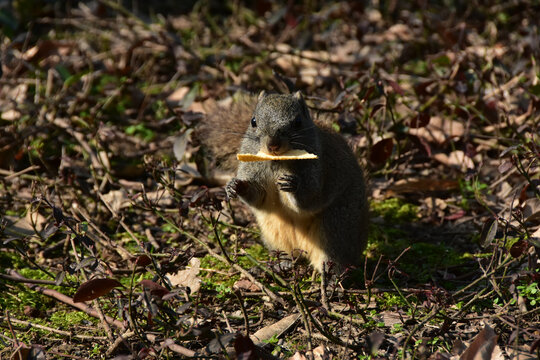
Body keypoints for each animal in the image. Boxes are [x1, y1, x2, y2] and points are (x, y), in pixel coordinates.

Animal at [200, 90, 370, 272]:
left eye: (298, 122)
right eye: (253, 121)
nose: (273, 144)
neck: (277, 163)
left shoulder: (319, 171)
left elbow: (310, 199)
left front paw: (293, 185)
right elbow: (259, 198)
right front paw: (236, 186)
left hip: (336, 227)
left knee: (334, 260)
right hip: (273, 232)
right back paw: (282, 264)